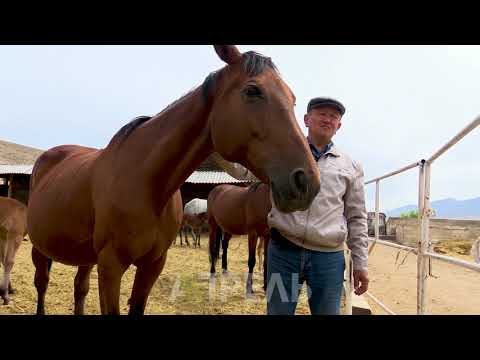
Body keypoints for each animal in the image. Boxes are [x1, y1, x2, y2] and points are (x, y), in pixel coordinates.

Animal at [25, 45, 318, 316]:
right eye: (253, 91)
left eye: (292, 98)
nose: (306, 181)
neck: (147, 183)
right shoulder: (110, 266)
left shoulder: (152, 265)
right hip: (42, 250)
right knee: (42, 283)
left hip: (87, 258)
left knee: (80, 289)